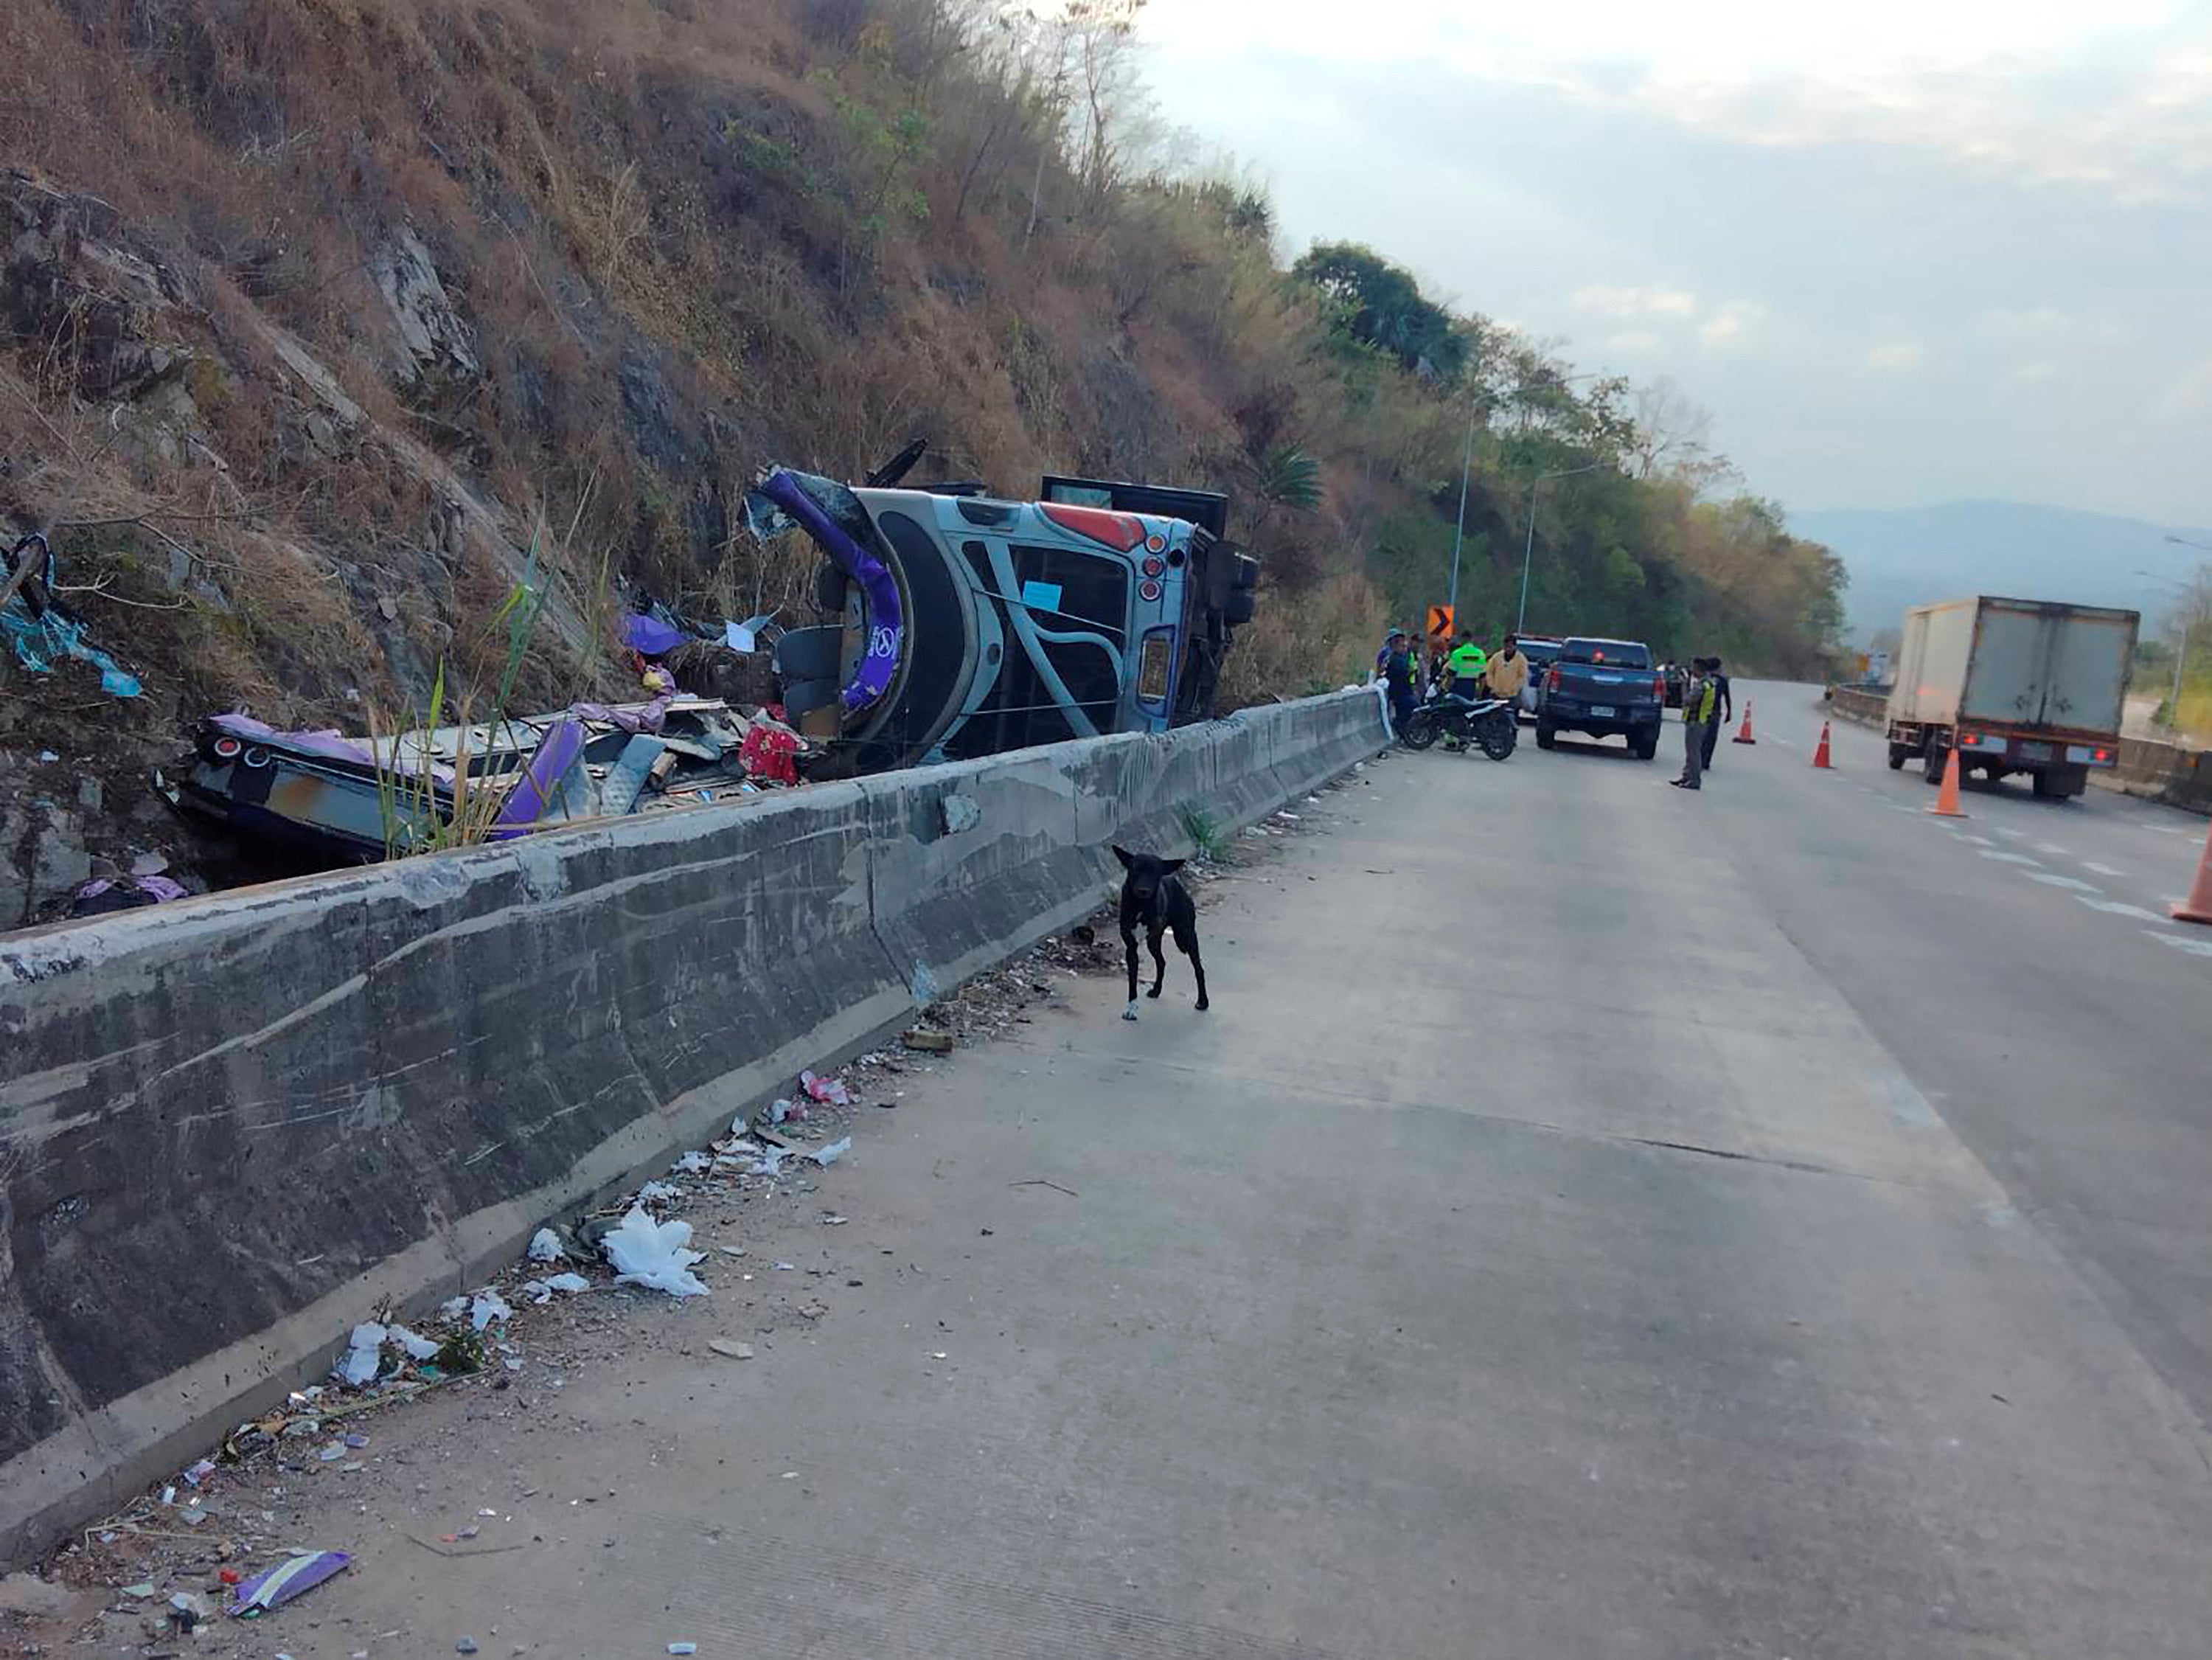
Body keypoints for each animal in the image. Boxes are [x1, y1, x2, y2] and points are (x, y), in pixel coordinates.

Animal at [1124, 850, 1212, 1022]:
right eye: (1135, 868)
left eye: (1155, 872)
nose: (1143, 890)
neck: (1141, 906)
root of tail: (1173, 879)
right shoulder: (1131, 948)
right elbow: (1132, 982)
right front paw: (1131, 1009)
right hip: (1154, 943)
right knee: (1162, 962)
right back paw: (1156, 990)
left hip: (1187, 936)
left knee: (1199, 969)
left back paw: (1202, 1001)